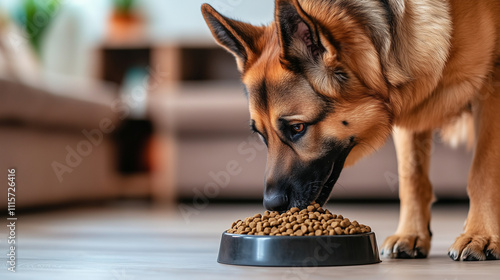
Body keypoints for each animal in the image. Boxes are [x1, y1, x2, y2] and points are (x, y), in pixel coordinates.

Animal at [202, 0, 500, 262]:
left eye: (297, 128)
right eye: (261, 136)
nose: (271, 205)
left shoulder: (491, 88)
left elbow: (482, 172)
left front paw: (480, 235)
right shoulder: (410, 107)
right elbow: (411, 177)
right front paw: (411, 234)